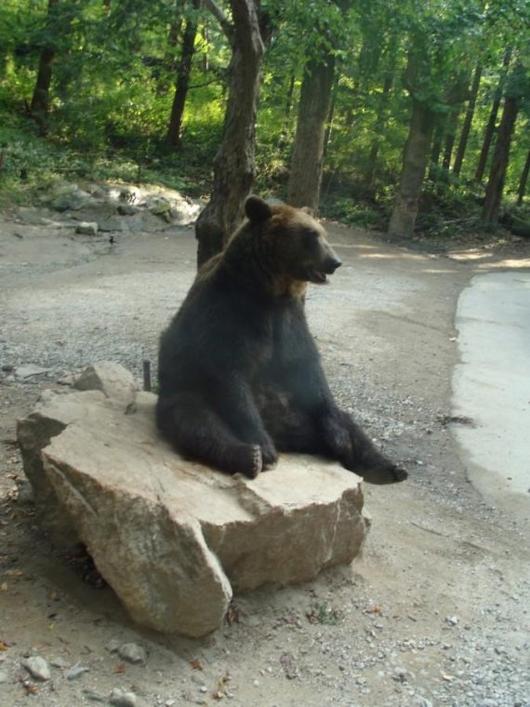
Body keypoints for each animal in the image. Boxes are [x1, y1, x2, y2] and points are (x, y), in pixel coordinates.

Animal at [155, 195, 406, 486]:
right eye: (310, 235)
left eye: (323, 233)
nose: (335, 261)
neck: (269, 288)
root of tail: (281, 430)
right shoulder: (229, 314)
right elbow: (229, 373)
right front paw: (263, 449)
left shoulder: (290, 318)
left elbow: (306, 364)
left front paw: (341, 439)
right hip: (186, 390)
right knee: (195, 420)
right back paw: (251, 456)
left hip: (297, 409)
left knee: (346, 419)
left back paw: (387, 467)